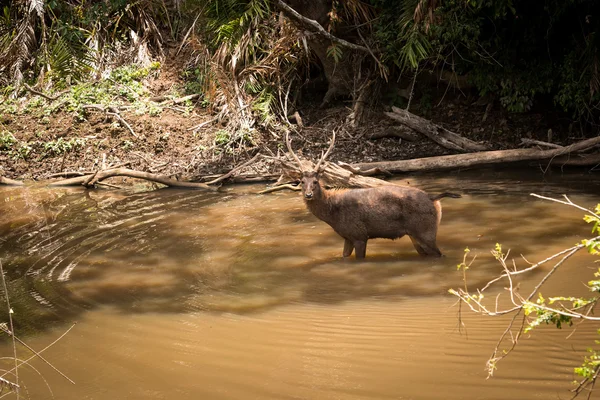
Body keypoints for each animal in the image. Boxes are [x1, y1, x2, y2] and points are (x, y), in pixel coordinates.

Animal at [286, 132, 460, 260]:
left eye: (316, 181)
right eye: (301, 181)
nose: (308, 194)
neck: (333, 214)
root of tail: (434, 198)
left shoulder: (359, 234)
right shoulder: (347, 236)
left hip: (426, 230)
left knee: (439, 254)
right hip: (416, 234)